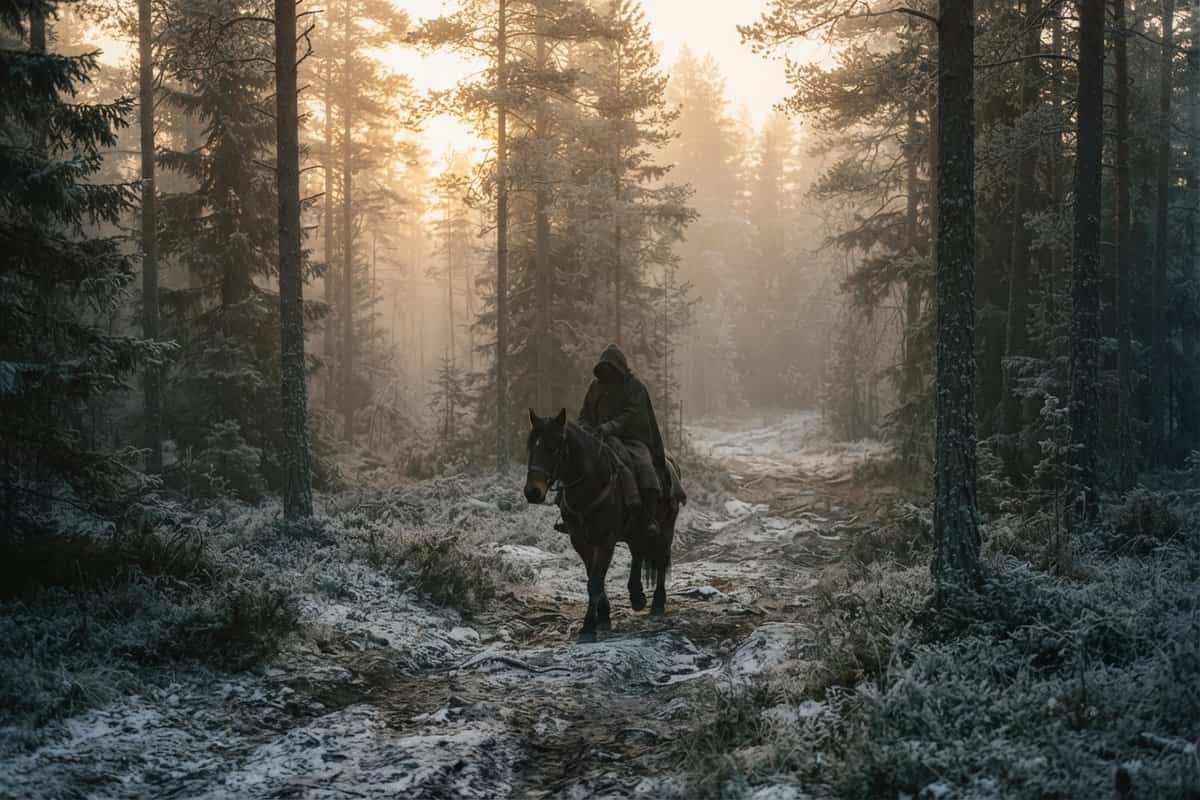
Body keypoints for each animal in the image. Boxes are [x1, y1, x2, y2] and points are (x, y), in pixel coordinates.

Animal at [523, 409, 678, 643]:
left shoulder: (606, 541)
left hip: (666, 527)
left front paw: (588, 627)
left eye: (554, 448)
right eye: (531, 447)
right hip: (634, 531)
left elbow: (595, 582)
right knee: (638, 553)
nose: (532, 492)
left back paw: (657, 604)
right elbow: (593, 579)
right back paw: (637, 596)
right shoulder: (581, 541)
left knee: (661, 559)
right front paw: (604, 616)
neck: (590, 485)